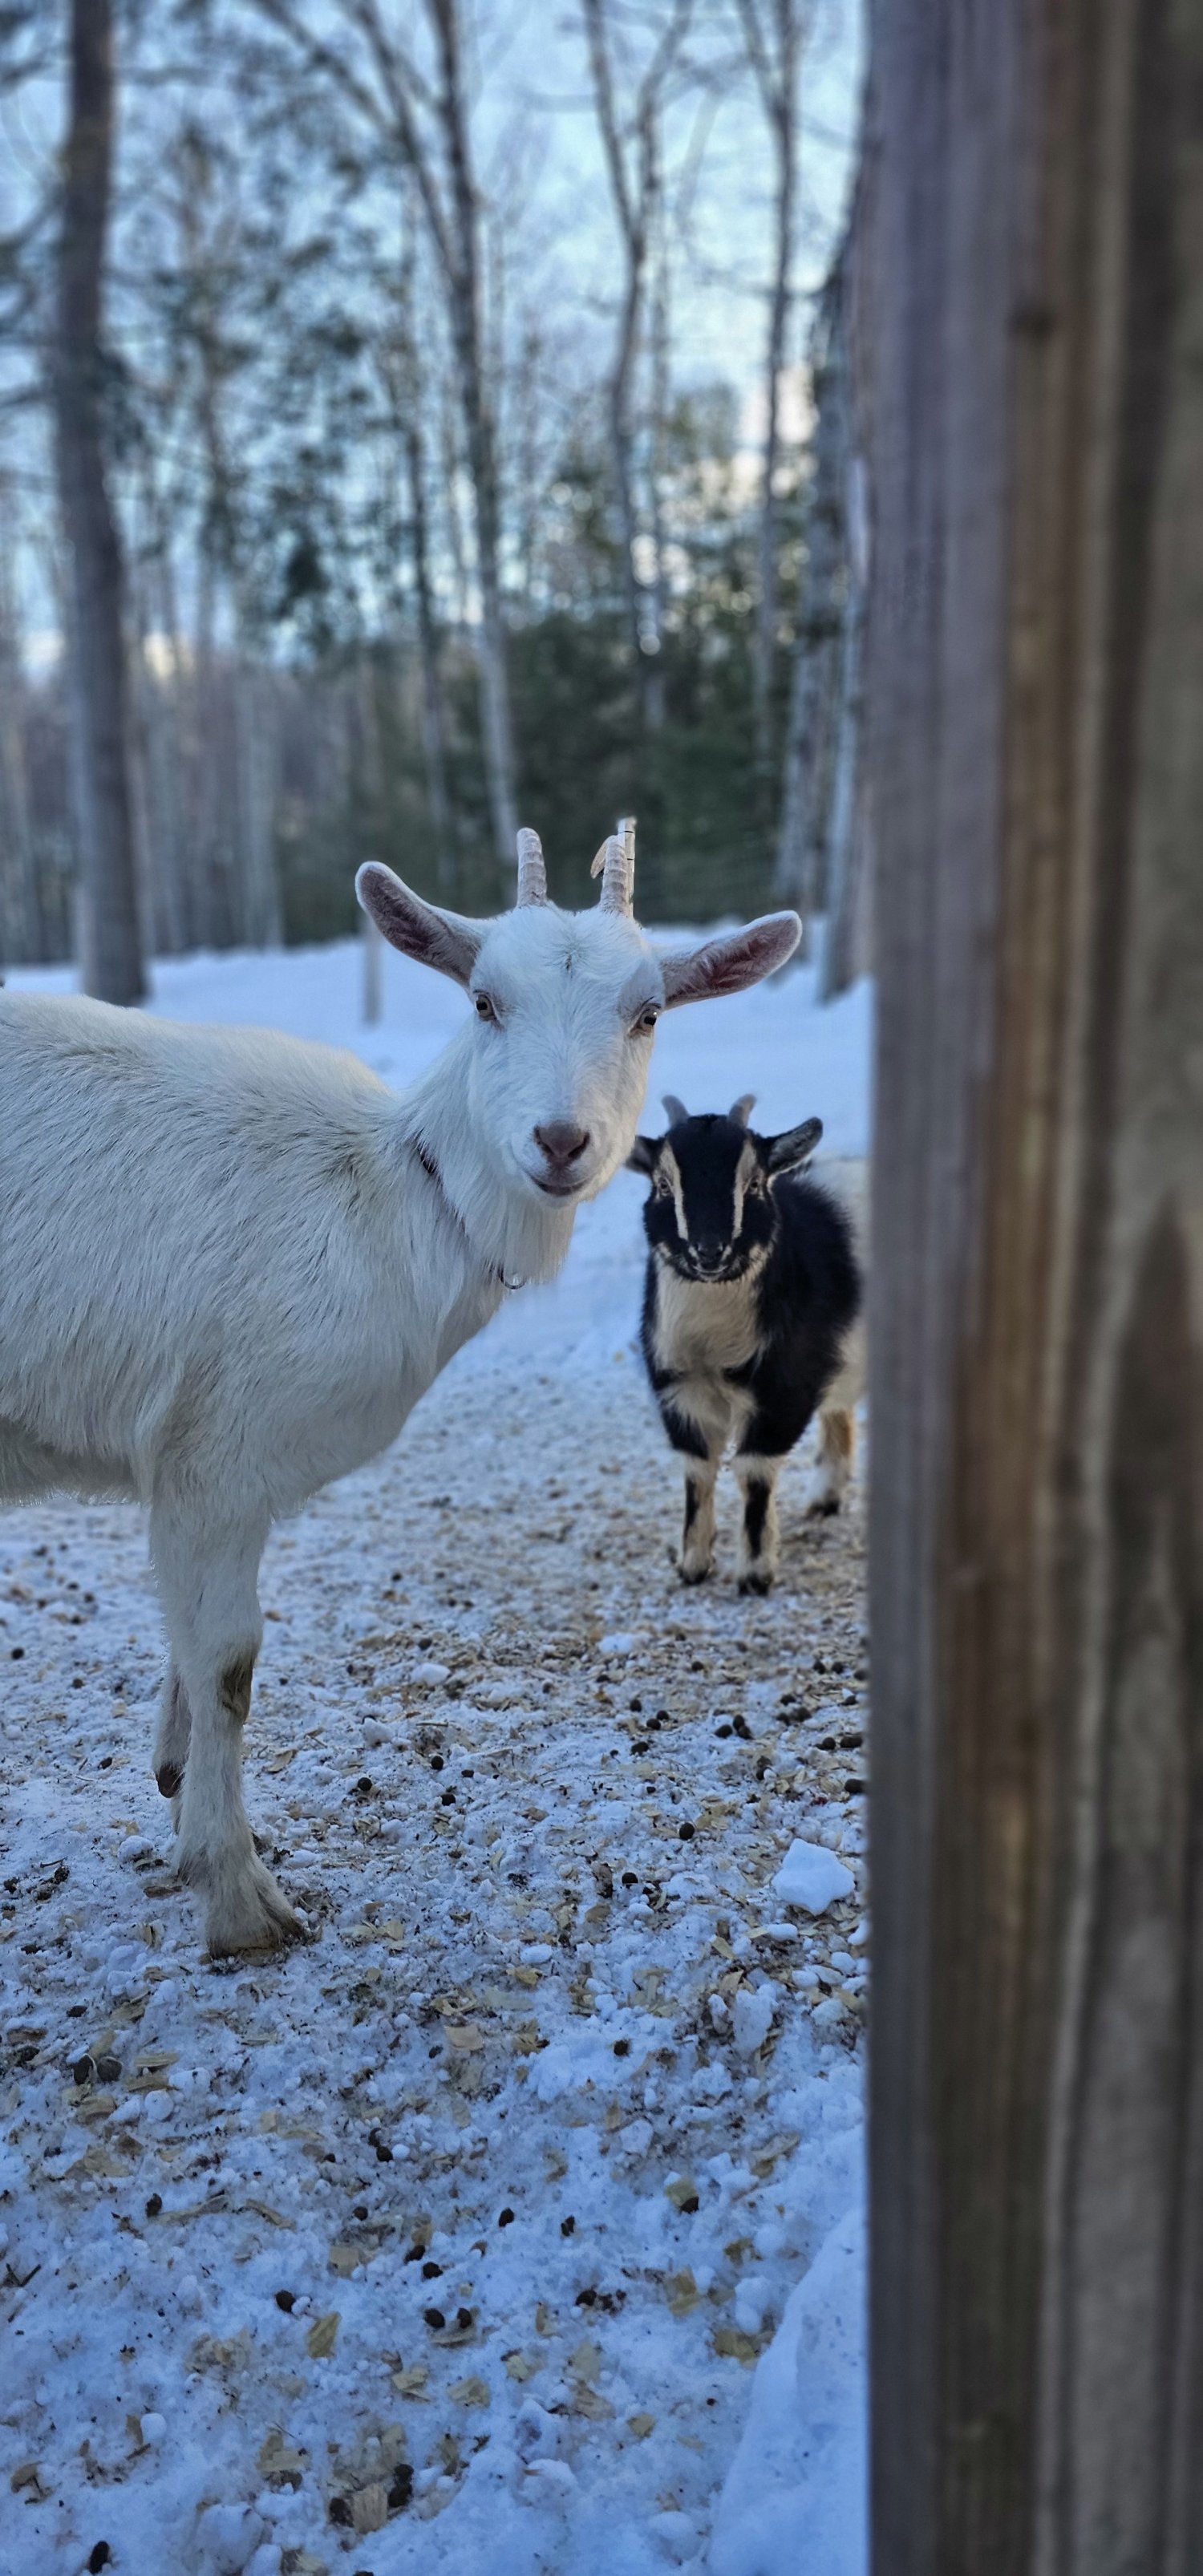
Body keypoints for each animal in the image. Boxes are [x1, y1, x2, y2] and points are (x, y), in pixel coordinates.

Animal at [0, 826, 799, 1954]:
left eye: (648, 1012)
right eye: (483, 1000)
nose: (561, 1142)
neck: (388, 1198)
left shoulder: (198, 1476)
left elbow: (191, 1652)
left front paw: (178, 1787)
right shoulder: (213, 1450)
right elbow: (229, 1664)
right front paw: (239, 1898)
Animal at [629, 1095, 866, 1591]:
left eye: (754, 1184)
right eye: (663, 1185)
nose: (709, 1250)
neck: (710, 1343)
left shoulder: (783, 1389)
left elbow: (753, 1473)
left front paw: (755, 1574)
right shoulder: (680, 1389)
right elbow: (697, 1470)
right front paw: (693, 1565)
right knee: (839, 1409)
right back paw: (825, 1498)